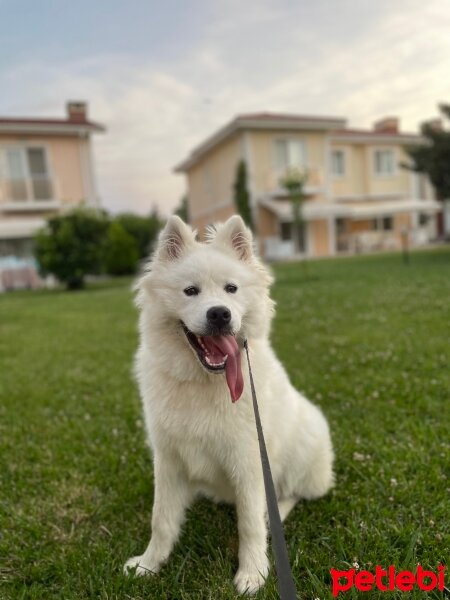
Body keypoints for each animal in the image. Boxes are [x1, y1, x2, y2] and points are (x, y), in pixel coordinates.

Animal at [124, 216, 334, 596]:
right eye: (190, 291)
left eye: (231, 289)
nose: (220, 314)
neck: (203, 382)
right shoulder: (168, 460)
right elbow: (161, 520)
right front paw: (149, 565)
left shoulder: (248, 463)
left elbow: (249, 524)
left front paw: (253, 574)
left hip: (304, 448)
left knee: (290, 495)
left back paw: (274, 512)